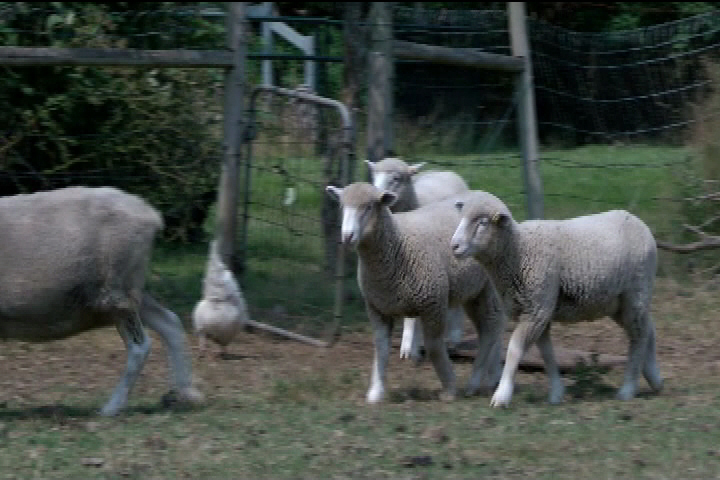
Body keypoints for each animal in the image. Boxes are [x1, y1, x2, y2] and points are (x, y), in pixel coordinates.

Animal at [0, 186, 204, 414]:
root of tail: (150, 215)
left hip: (117, 292)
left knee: (140, 347)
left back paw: (111, 408)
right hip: (131, 290)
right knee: (170, 323)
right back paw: (184, 393)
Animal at [324, 182, 504, 404]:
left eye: (368, 207)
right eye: (342, 206)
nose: (347, 236)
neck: (397, 245)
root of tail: (486, 194)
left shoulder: (433, 303)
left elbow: (434, 347)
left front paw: (449, 387)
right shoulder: (377, 308)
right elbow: (381, 348)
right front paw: (376, 392)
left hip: (490, 287)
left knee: (491, 327)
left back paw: (478, 380)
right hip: (474, 292)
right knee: (491, 327)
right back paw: (493, 375)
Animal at [366, 158, 472, 360]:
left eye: (396, 178)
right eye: (373, 176)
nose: (377, 196)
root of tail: (446, 172)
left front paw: (409, 347)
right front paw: (413, 343)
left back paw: (453, 339)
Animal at [450, 189, 664, 406]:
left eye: (482, 222)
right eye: (461, 217)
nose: (454, 246)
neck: (518, 251)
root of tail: (638, 222)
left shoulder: (537, 309)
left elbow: (514, 350)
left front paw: (502, 395)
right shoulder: (539, 312)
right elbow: (547, 354)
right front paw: (556, 394)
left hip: (636, 291)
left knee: (639, 336)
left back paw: (628, 389)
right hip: (618, 303)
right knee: (648, 329)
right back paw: (654, 378)